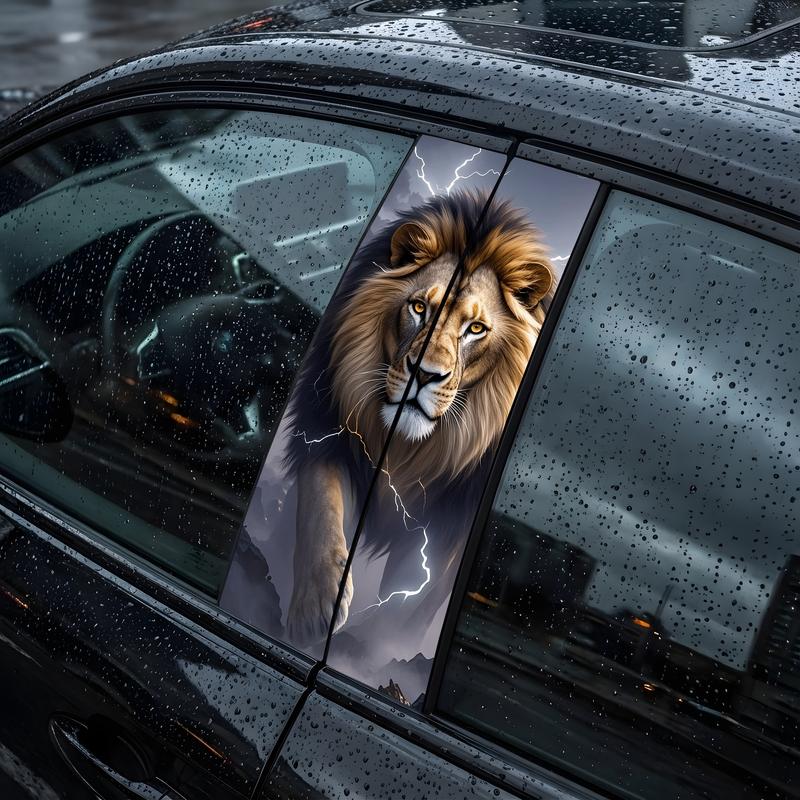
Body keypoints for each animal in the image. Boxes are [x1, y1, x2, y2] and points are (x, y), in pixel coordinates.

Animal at [283, 190, 554, 645]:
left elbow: (409, 599)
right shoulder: (327, 428)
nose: (424, 374)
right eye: (418, 307)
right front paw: (316, 605)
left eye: (476, 329)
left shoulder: (445, 525)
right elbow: (321, 504)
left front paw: (374, 642)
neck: (409, 451)